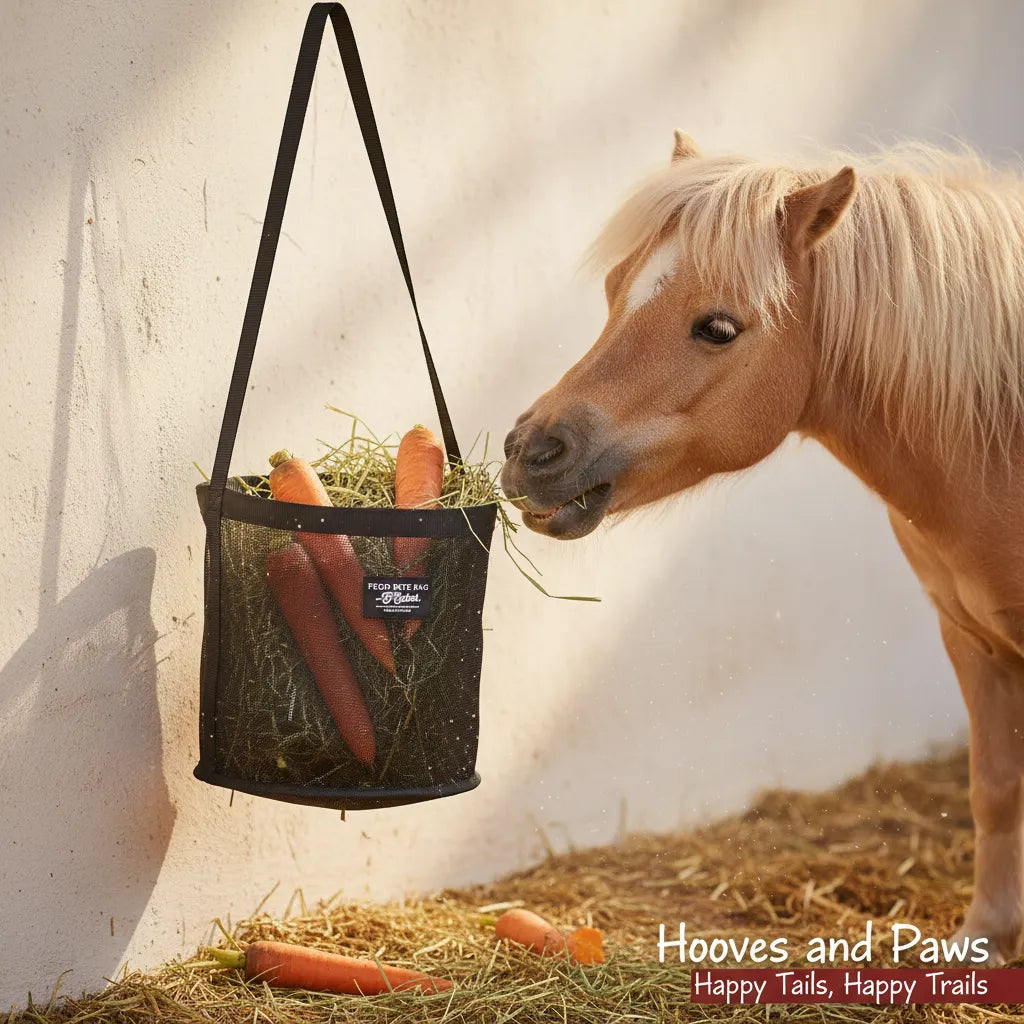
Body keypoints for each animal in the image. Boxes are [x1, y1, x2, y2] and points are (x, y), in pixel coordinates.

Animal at [501, 131, 1024, 965]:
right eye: (615, 286)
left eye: (718, 327)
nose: (532, 451)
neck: (1004, 436)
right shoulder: (972, 639)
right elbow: (995, 785)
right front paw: (987, 937)